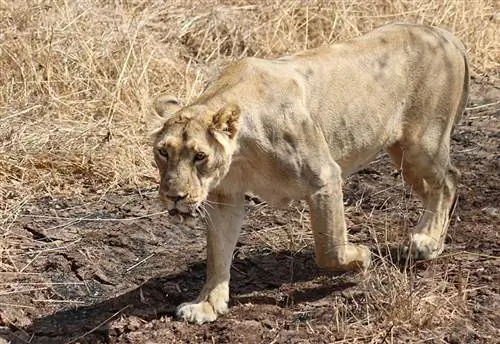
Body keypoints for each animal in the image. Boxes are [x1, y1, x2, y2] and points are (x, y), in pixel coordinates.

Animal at [151, 22, 468, 324]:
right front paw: (206, 305)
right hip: (402, 154)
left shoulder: (324, 178)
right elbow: (217, 255)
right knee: (433, 188)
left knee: (449, 180)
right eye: (163, 152)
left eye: (200, 156)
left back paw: (428, 242)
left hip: (422, 144)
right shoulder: (224, 196)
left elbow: (329, 248)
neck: (242, 153)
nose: (173, 196)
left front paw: (361, 257)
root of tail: (445, 34)